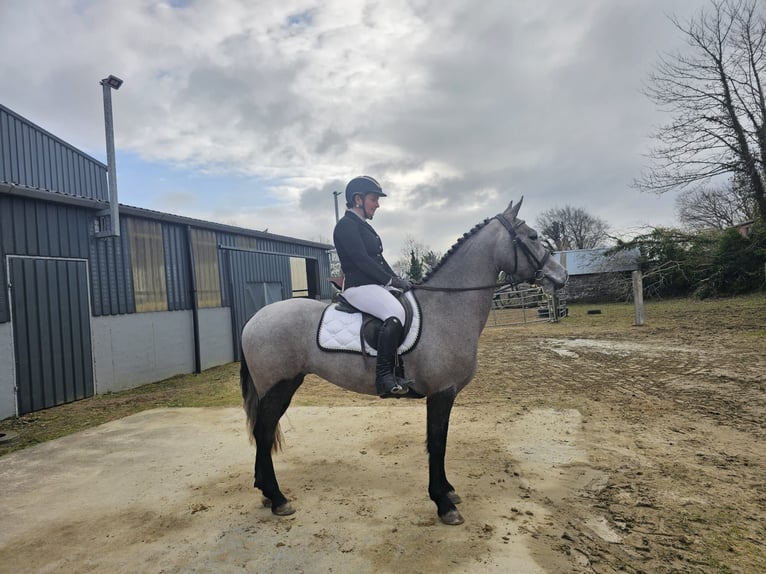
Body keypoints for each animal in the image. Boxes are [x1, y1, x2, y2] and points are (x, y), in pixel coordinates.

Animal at [240, 199, 568, 528]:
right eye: (533, 236)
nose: (562, 276)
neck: (446, 307)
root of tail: (254, 319)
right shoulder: (441, 392)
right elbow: (436, 443)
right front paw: (443, 504)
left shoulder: (446, 393)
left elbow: (441, 440)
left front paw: (448, 492)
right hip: (278, 387)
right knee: (263, 433)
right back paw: (278, 499)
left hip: (282, 386)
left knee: (262, 432)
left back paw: (266, 492)